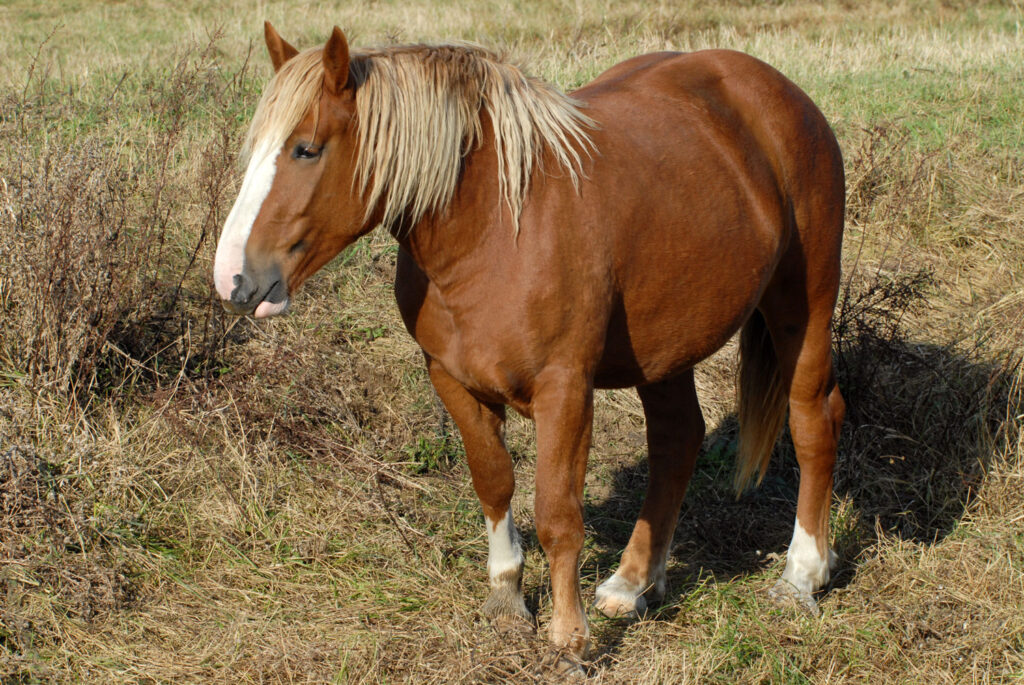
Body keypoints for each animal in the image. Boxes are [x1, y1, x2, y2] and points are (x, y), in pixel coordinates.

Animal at [213, 22, 846, 659]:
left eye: (306, 149)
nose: (233, 279)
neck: (495, 228)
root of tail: (780, 94)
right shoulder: (452, 379)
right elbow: (494, 482)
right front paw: (507, 598)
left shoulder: (564, 389)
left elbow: (557, 514)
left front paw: (570, 637)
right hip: (667, 344)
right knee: (678, 440)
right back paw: (632, 584)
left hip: (803, 306)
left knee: (814, 419)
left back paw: (801, 576)